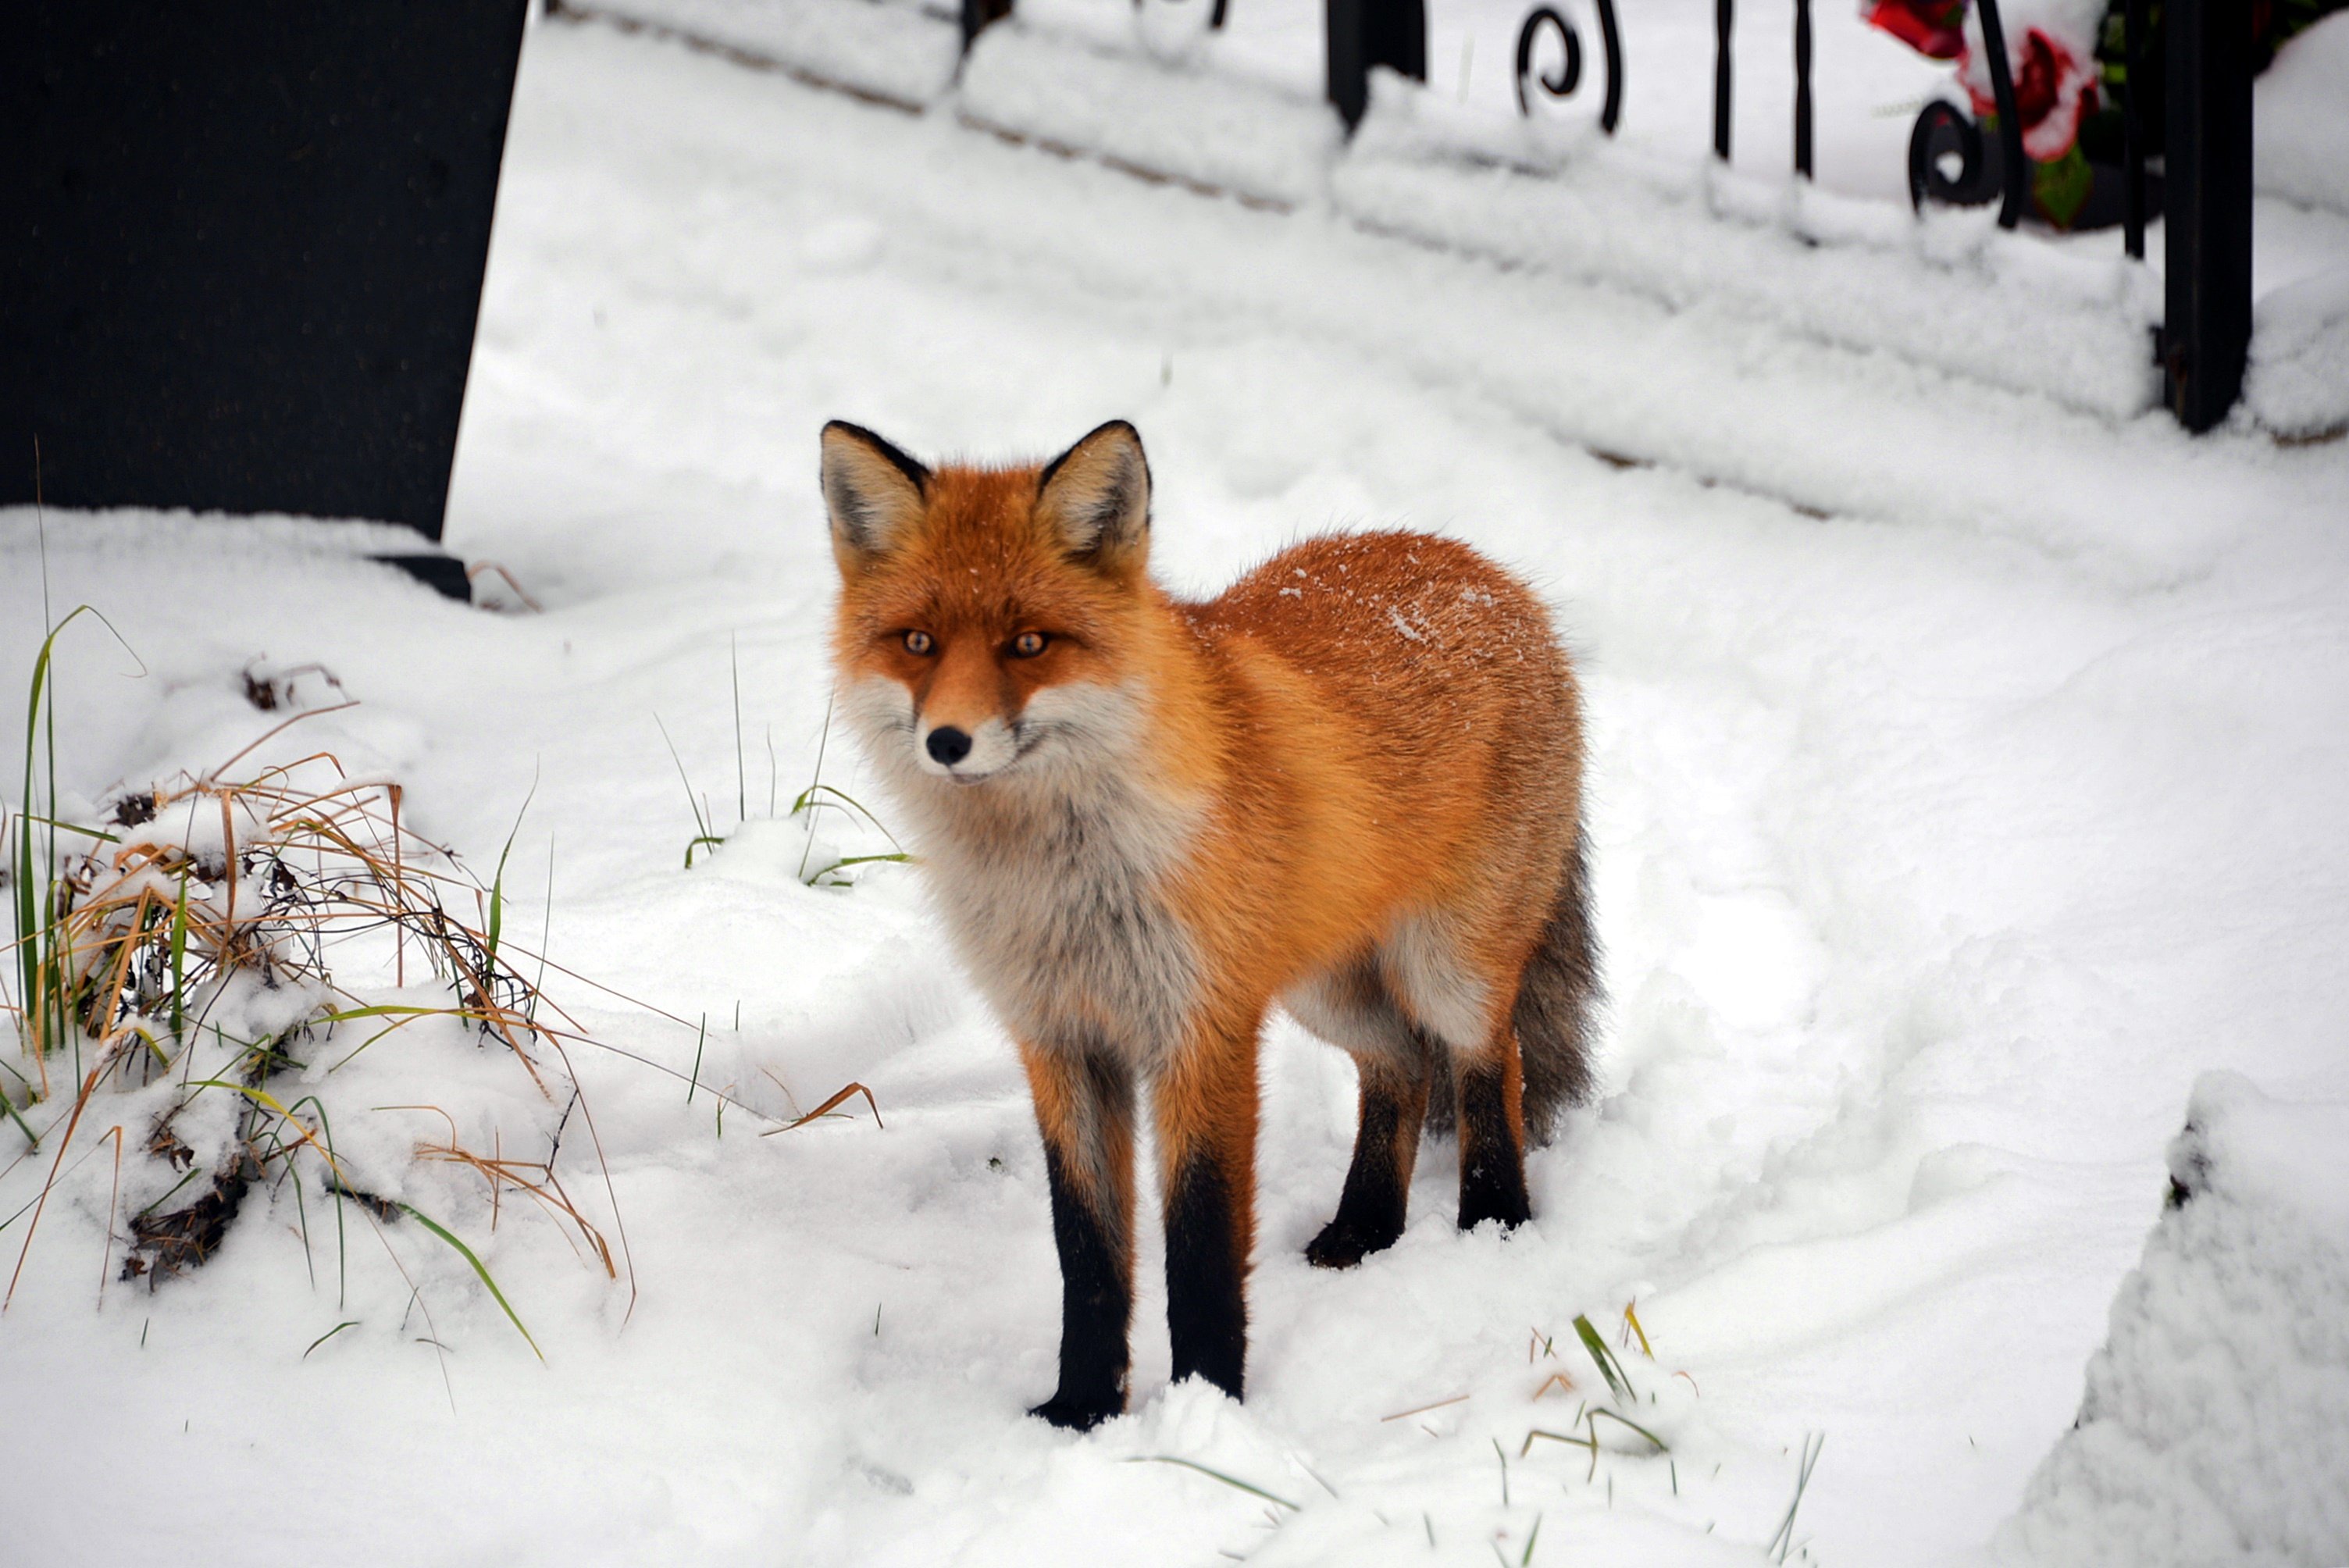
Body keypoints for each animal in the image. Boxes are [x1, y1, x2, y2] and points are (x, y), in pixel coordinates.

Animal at [822, 415, 1597, 1436]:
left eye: (1029, 643)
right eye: (915, 641)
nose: (946, 742)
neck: (1064, 884)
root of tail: (1486, 571)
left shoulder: (1203, 1032)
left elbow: (1197, 1248)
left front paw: (1207, 1412)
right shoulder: (1061, 1040)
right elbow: (1087, 1252)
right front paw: (1082, 1410)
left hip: (1446, 967)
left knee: (1485, 1064)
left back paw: (1494, 1229)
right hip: (1322, 988)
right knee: (1398, 1064)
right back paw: (1365, 1230)